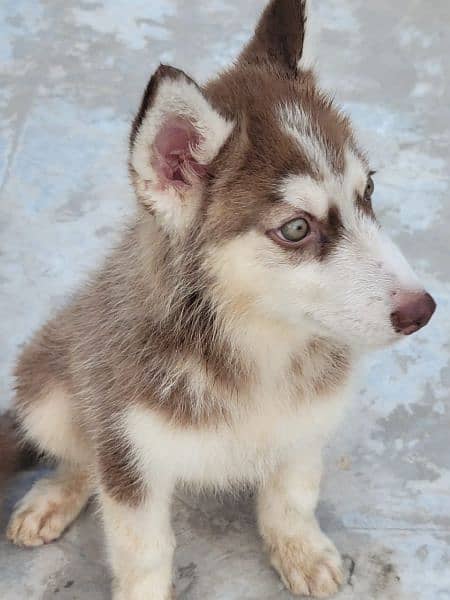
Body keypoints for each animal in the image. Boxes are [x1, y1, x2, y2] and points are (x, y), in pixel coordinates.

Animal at [3, 1, 436, 600]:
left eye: (367, 191)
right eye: (297, 228)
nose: (424, 310)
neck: (255, 346)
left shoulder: (308, 421)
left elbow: (292, 498)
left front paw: (300, 552)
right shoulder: (131, 452)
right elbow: (142, 551)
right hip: (49, 390)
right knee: (82, 453)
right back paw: (55, 495)